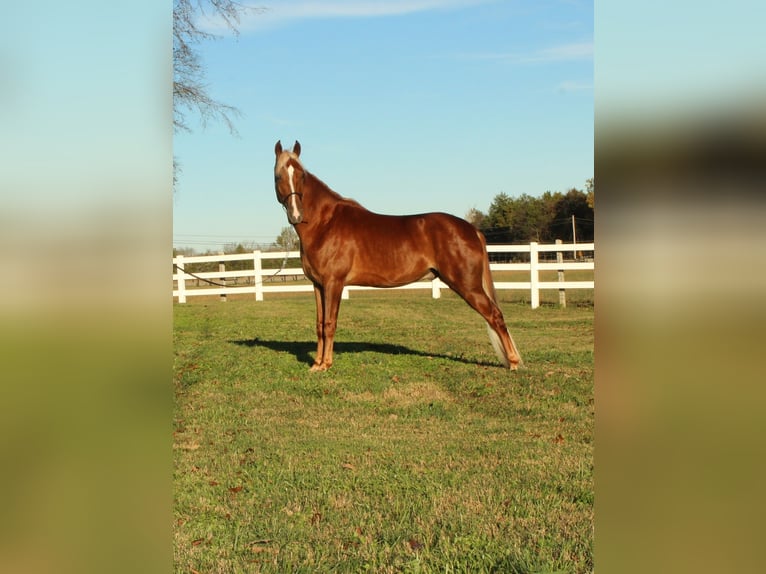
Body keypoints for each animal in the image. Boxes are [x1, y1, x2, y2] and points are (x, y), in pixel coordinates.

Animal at [272, 140, 520, 374]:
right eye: (278, 176)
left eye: (302, 176)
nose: (296, 215)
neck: (325, 223)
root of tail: (472, 229)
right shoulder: (318, 285)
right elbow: (319, 324)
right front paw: (316, 363)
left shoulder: (334, 283)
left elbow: (330, 323)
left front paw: (326, 364)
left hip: (468, 286)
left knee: (495, 315)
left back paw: (514, 363)